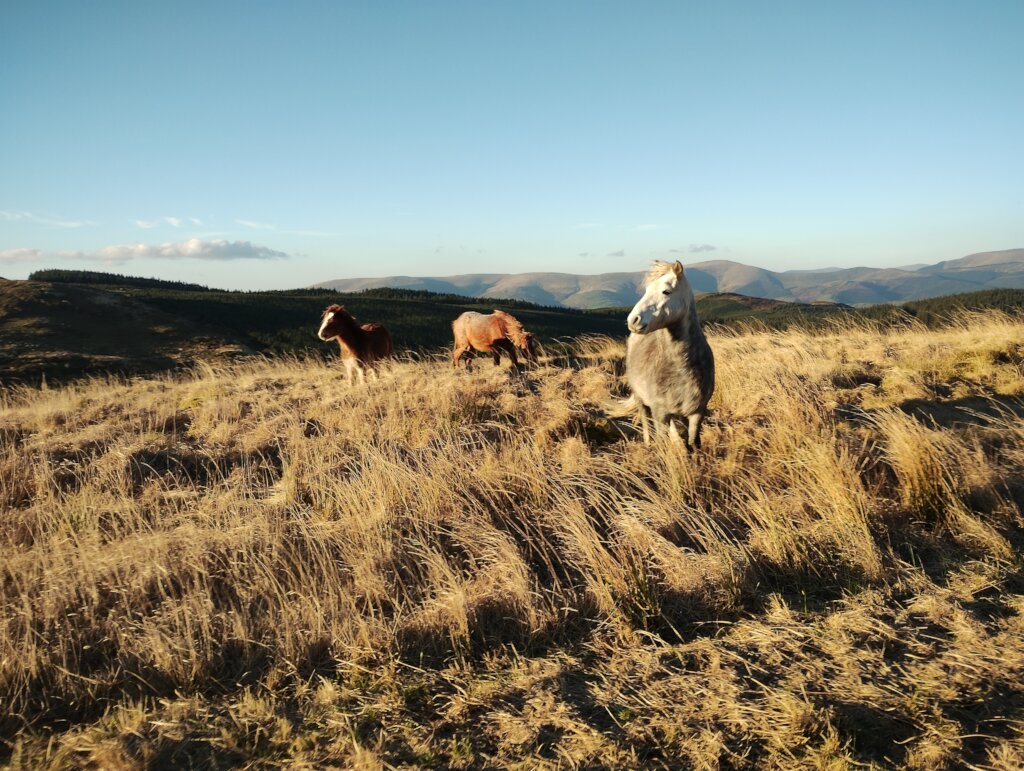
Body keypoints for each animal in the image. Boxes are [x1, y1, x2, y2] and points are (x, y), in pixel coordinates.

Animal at [625, 260, 715, 449]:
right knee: (646, 423)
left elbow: (692, 443)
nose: (633, 320)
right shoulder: (661, 414)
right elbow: (663, 441)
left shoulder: (697, 412)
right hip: (641, 400)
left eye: (666, 291)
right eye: (646, 290)